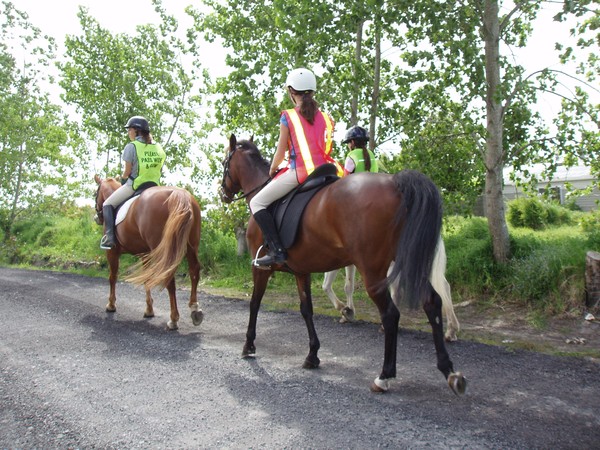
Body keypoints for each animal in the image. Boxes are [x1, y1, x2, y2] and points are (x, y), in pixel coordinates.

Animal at [94, 175, 204, 330]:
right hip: (191, 245)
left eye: (95, 193)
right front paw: (149, 310)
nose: (97, 217)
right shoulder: (144, 254)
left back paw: (173, 319)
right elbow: (147, 279)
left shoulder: (112, 252)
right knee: (194, 271)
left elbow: (112, 277)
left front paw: (111, 305)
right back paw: (195, 310)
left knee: (169, 277)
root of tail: (179, 194)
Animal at [324, 237, 460, 340]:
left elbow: (338, 286)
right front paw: (346, 311)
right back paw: (451, 331)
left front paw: (345, 311)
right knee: (443, 287)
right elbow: (341, 286)